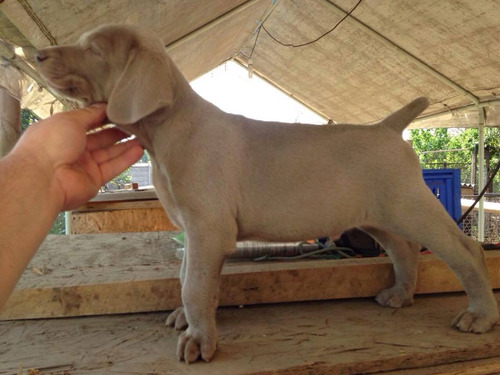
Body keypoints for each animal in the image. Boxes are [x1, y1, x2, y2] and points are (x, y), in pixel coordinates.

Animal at [35, 24, 496, 364]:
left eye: (93, 49)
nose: (36, 55)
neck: (168, 131)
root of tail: (387, 128)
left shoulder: (208, 230)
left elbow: (194, 284)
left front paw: (199, 341)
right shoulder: (195, 232)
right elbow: (187, 277)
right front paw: (191, 321)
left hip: (410, 204)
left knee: (464, 251)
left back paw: (480, 315)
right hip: (375, 214)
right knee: (403, 248)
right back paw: (401, 295)